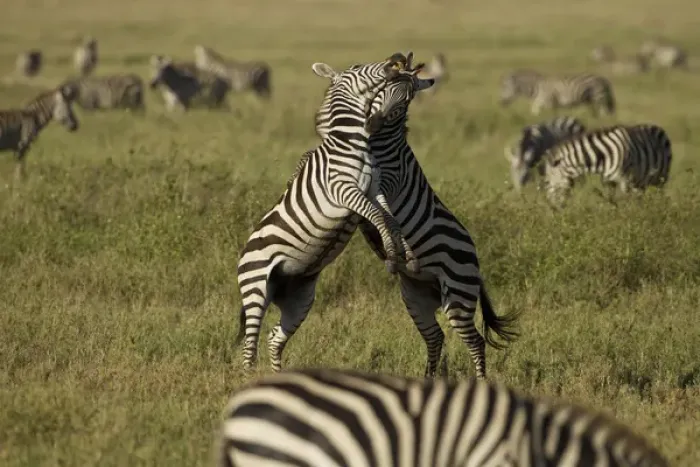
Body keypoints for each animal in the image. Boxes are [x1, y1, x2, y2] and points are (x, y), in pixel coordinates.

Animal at [236, 53, 435, 374]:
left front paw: (405, 253)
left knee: (274, 338)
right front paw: (394, 255)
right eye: (358, 68)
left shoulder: (374, 188)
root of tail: (243, 255)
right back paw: (247, 376)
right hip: (255, 287)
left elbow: (390, 219)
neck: (351, 143)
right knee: (250, 341)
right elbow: (377, 217)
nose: (397, 59)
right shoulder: (344, 190)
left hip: (298, 298)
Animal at [314, 55, 519, 380]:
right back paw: (428, 379)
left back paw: (480, 381)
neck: (381, 144)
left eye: (403, 104)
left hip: (458, 296)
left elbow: (385, 210)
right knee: (435, 336)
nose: (371, 124)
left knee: (474, 340)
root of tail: (476, 262)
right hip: (416, 297)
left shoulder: (388, 182)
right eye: (380, 92)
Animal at [543, 124, 672, 208]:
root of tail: (659, 128)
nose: (551, 207)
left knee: (660, 194)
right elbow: (610, 201)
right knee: (639, 197)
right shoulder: (608, 181)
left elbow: (626, 200)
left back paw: (659, 208)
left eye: (547, 181)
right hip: (639, 182)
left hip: (661, 178)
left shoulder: (624, 180)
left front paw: (628, 217)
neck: (603, 156)